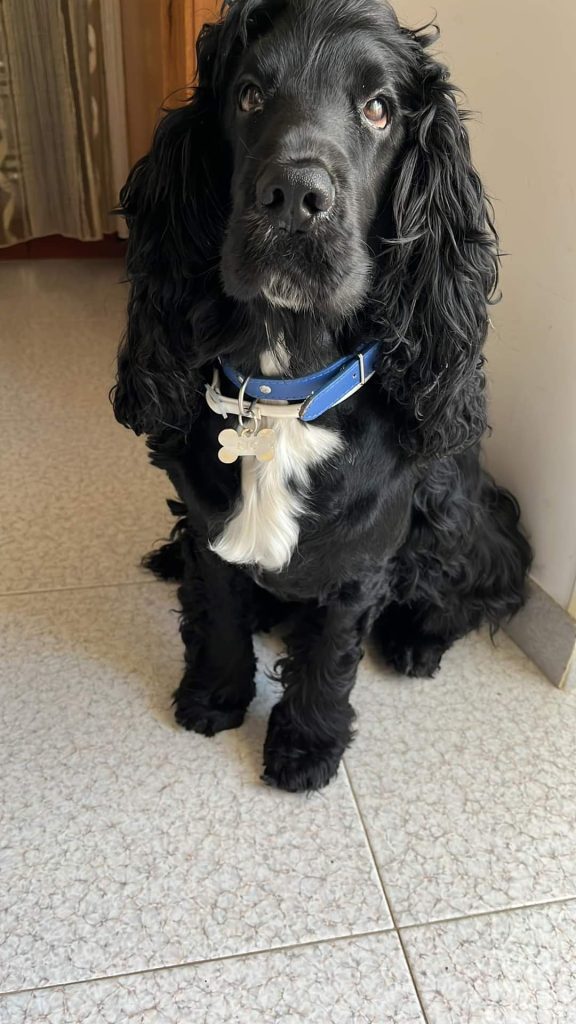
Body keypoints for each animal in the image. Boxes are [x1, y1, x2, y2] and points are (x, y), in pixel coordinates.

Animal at [113, 0, 532, 793]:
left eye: (378, 109)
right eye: (248, 95)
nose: (295, 199)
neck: (282, 393)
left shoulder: (362, 554)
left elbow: (332, 653)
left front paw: (307, 744)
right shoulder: (212, 527)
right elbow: (219, 610)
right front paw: (215, 695)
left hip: (451, 509)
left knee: (485, 579)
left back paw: (416, 640)